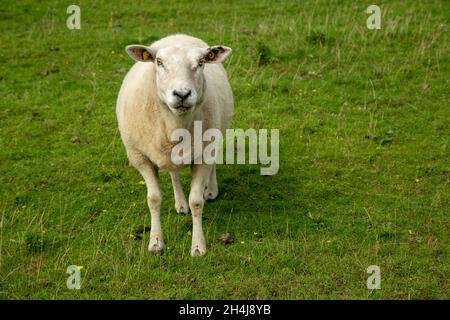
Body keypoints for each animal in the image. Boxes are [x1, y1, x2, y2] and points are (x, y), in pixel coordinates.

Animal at [116, 33, 234, 256]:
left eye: (201, 62)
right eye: (159, 62)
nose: (182, 94)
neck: (175, 125)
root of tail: (178, 35)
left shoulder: (204, 155)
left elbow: (196, 202)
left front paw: (198, 246)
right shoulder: (140, 158)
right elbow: (154, 199)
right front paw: (155, 242)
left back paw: (211, 190)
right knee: (174, 173)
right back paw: (180, 203)